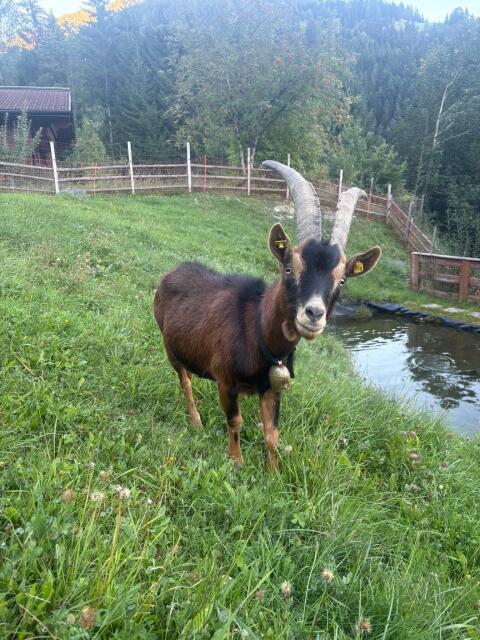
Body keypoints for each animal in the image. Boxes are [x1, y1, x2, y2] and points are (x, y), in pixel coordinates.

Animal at [153, 161, 381, 469]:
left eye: (342, 280)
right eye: (289, 267)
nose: (314, 314)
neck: (256, 330)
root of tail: (170, 274)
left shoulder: (272, 388)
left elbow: (272, 434)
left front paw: (273, 472)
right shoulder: (226, 380)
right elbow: (235, 422)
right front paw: (236, 461)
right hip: (169, 347)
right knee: (185, 383)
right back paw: (196, 422)